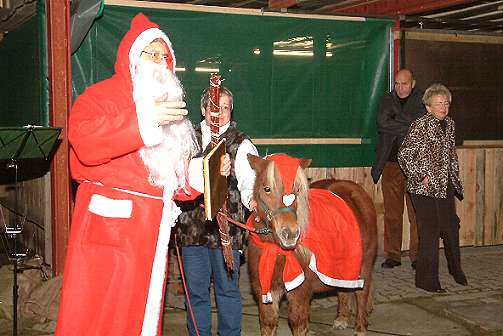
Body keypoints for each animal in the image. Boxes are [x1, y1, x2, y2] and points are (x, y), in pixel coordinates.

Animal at [248, 154, 378, 336]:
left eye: (297, 190)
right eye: (267, 189)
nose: (290, 234)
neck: (275, 249)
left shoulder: (300, 292)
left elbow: (298, 323)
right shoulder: (265, 289)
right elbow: (268, 323)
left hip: (364, 265)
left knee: (362, 293)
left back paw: (360, 327)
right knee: (343, 290)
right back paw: (342, 319)